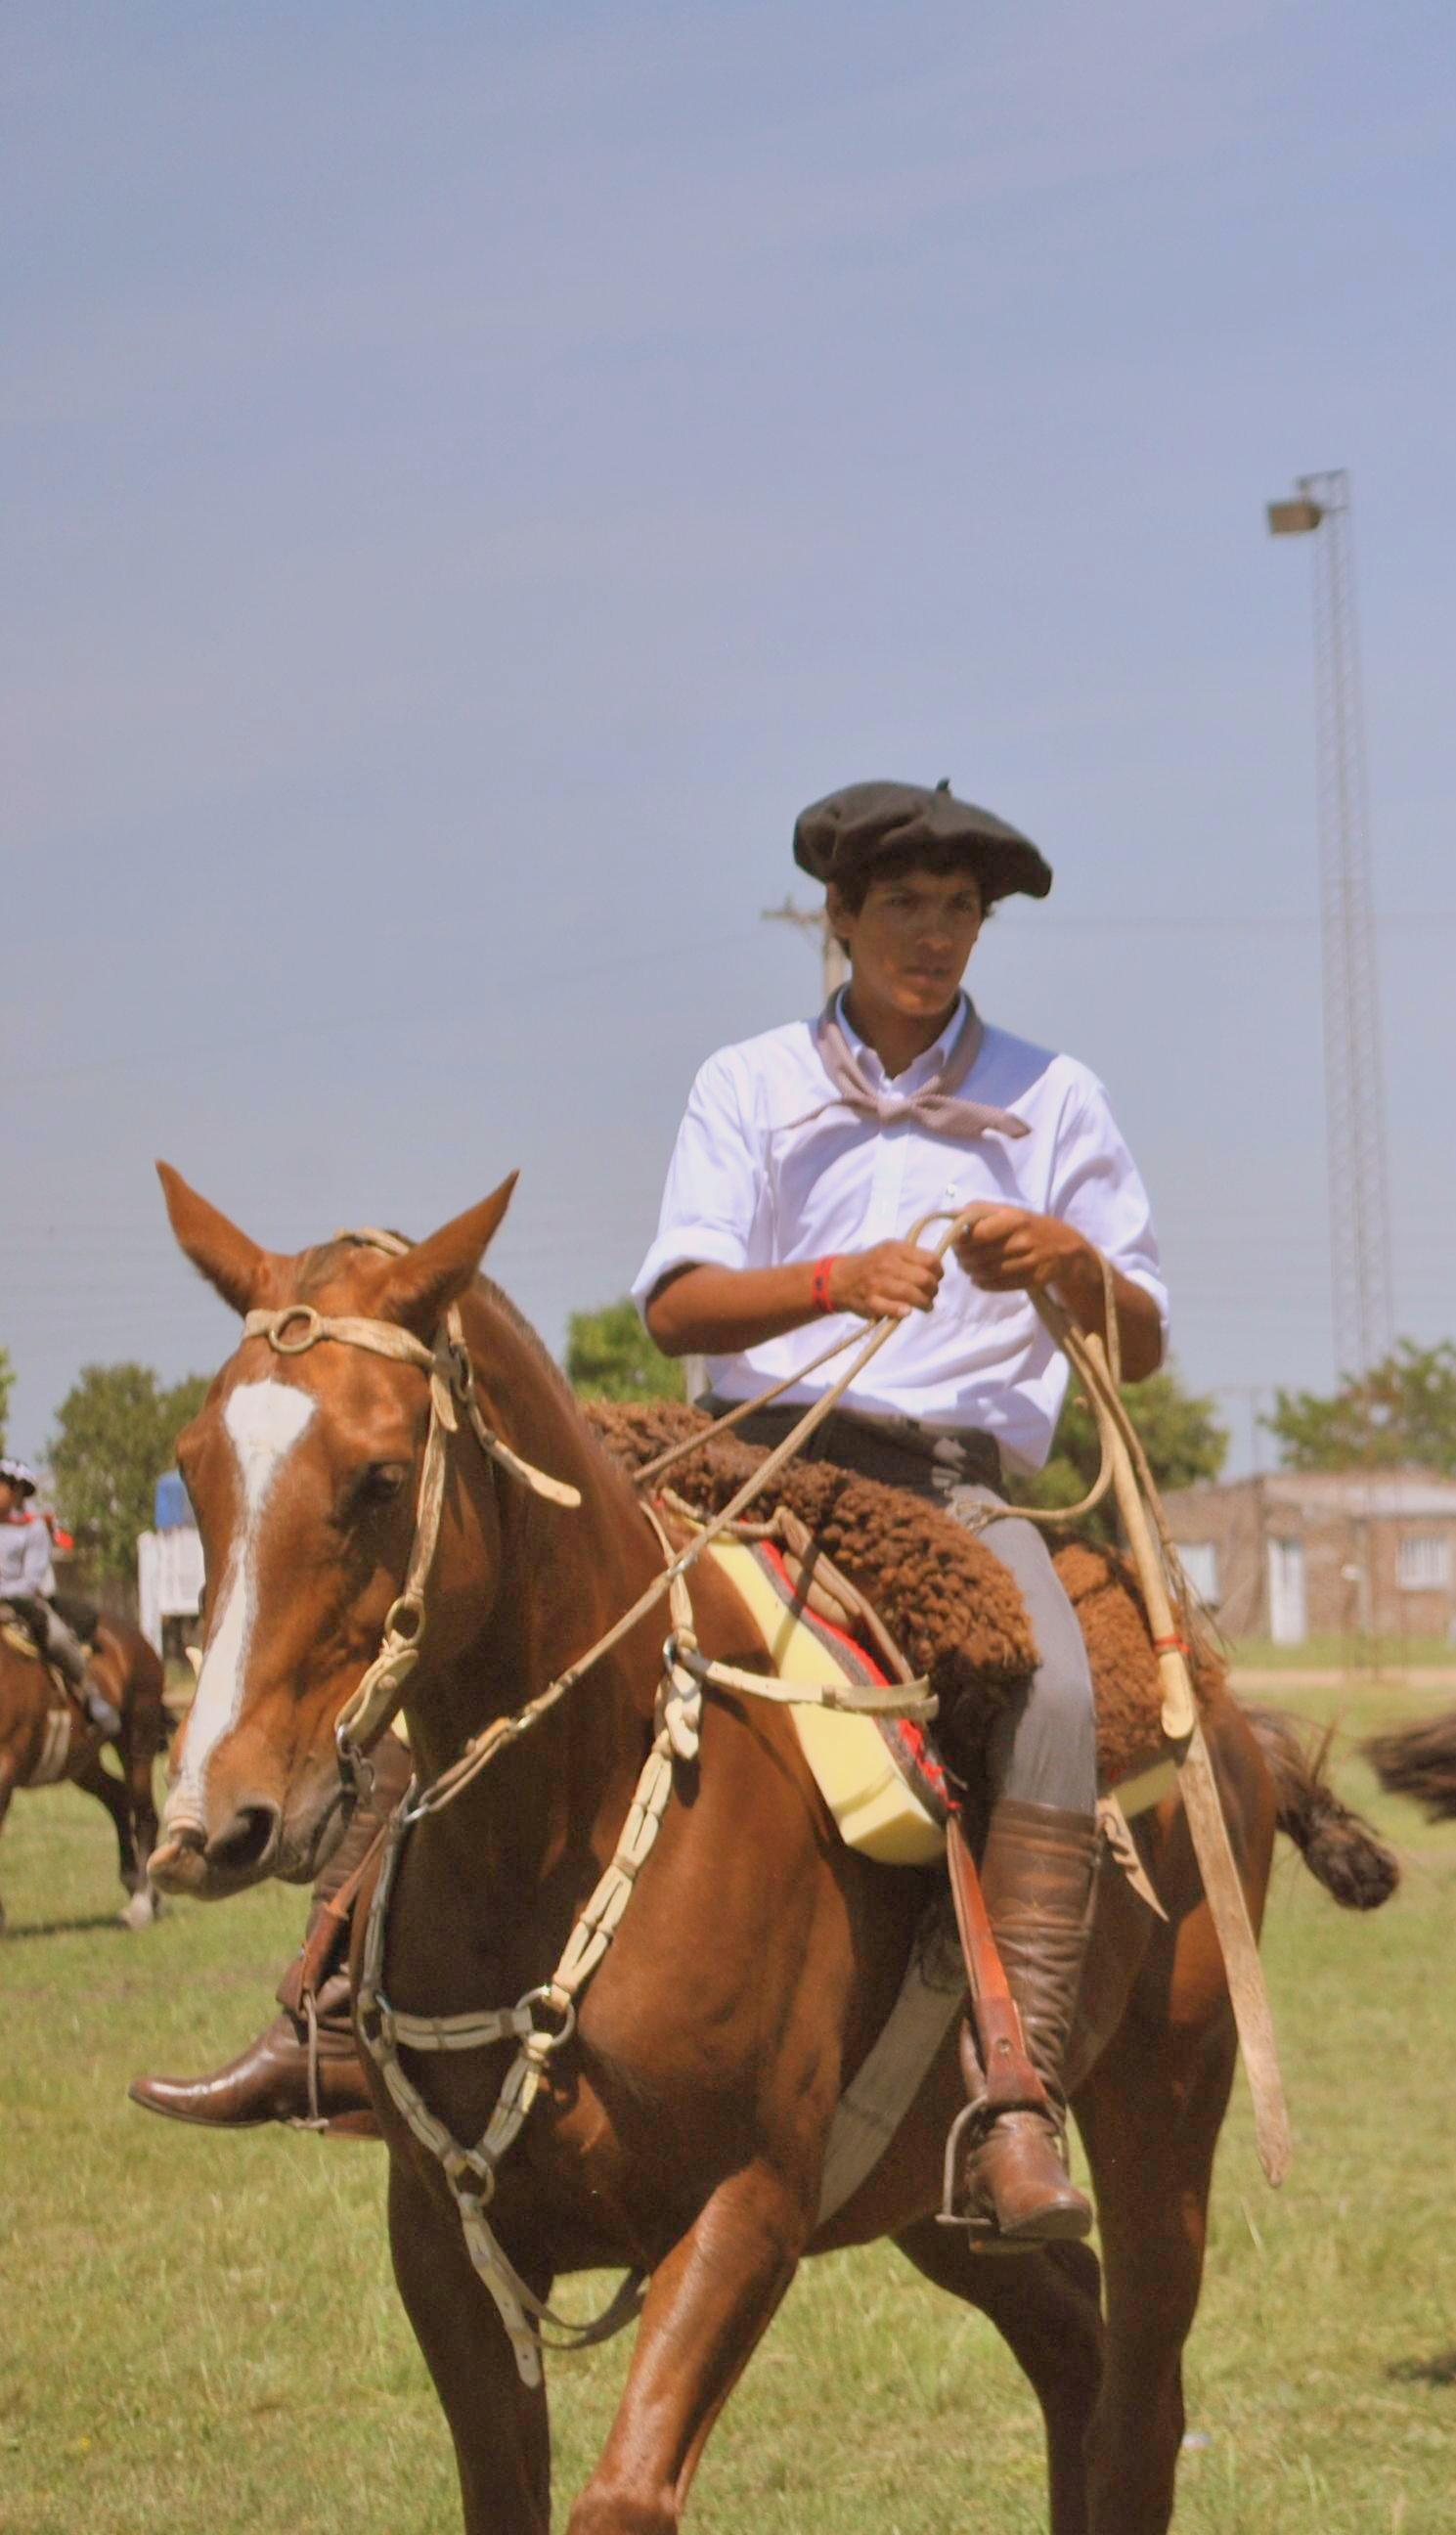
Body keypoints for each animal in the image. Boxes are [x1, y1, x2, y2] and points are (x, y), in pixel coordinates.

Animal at [0, 1612, 167, 1926]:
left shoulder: (5, 1773)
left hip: (137, 1741)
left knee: (145, 1814)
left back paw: (141, 1901)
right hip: (81, 1763)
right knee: (117, 1796)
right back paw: (135, 1881)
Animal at [151, 1171, 1399, 2535]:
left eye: (380, 1478)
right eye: (194, 1469)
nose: (215, 1820)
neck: (559, 1843)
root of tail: (1218, 1710)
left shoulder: (743, 2208)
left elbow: (623, 2498)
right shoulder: (439, 2241)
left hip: (1166, 2106)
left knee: (1139, 2403)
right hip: (927, 2191)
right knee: (1074, 2351)